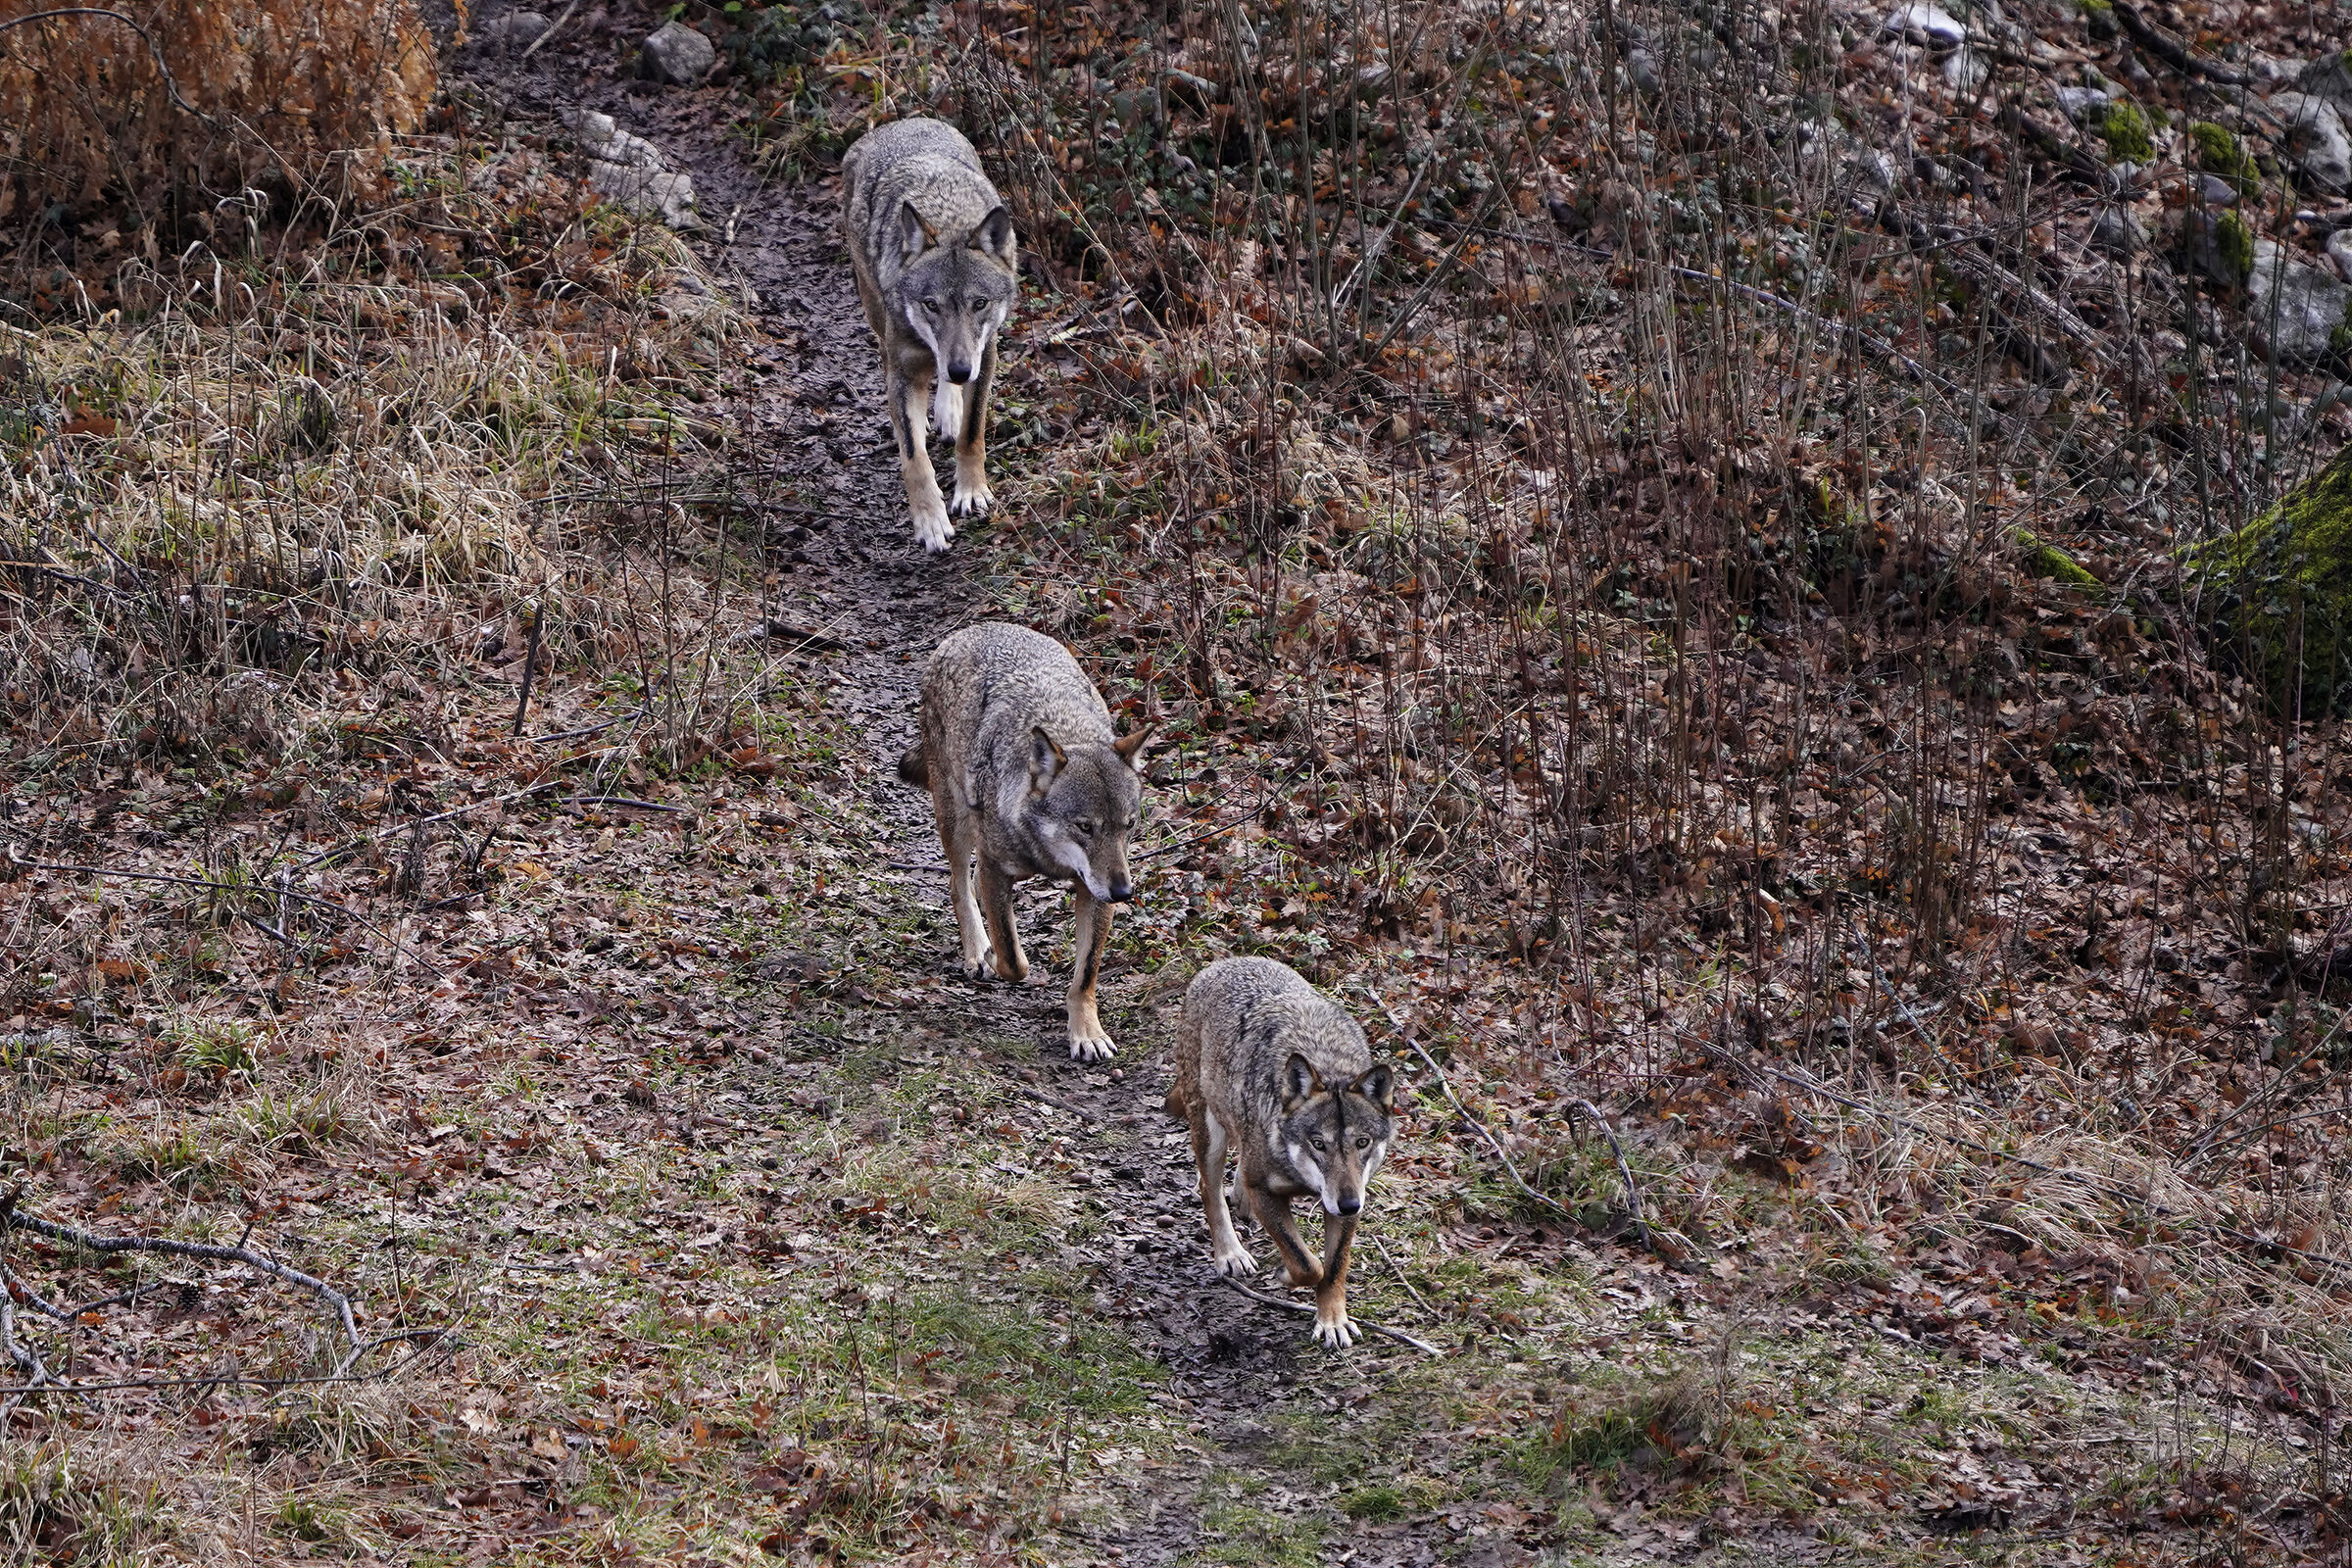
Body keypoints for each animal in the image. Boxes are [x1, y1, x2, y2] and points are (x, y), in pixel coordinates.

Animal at [840, 117, 1018, 554]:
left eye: (979, 303)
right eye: (931, 305)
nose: (960, 370)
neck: (949, 215)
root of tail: (900, 122)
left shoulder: (985, 356)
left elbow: (972, 433)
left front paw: (971, 492)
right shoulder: (904, 369)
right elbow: (913, 458)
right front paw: (930, 522)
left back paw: (946, 410)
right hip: (875, 313)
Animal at [897, 623, 1148, 1060]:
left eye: (1128, 826)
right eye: (1085, 827)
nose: (1123, 892)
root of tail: (973, 628)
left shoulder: (1093, 890)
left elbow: (1085, 975)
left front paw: (1086, 1033)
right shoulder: (997, 869)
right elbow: (1013, 959)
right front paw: (993, 954)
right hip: (955, 818)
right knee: (958, 885)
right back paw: (977, 951)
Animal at [1167, 957, 1397, 1349]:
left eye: (1362, 1143)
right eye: (1318, 1143)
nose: (1350, 1204)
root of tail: (1224, 962)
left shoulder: (1347, 1203)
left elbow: (1333, 1267)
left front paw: (1332, 1321)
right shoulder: (1266, 1193)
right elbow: (1307, 1264)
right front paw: (1285, 1276)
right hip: (1209, 1129)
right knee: (1209, 1189)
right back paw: (1230, 1253)